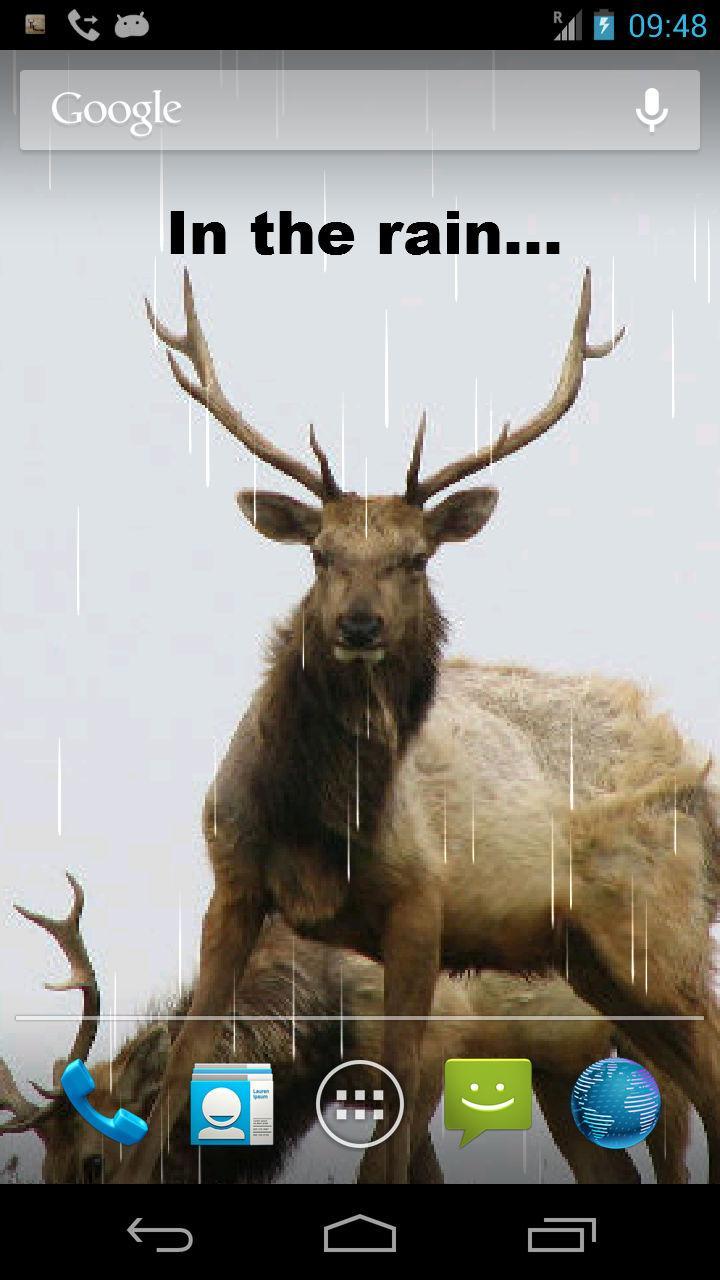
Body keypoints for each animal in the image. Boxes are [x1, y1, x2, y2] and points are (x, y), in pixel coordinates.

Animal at [111, 266, 720, 1184]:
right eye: (320, 553)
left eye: (417, 558)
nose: (358, 625)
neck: (315, 827)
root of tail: (698, 778)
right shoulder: (233, 881)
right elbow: (180, 1073)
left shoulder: (420, 907)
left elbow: (395, 1120)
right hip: (591, 962)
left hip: (660, 927)